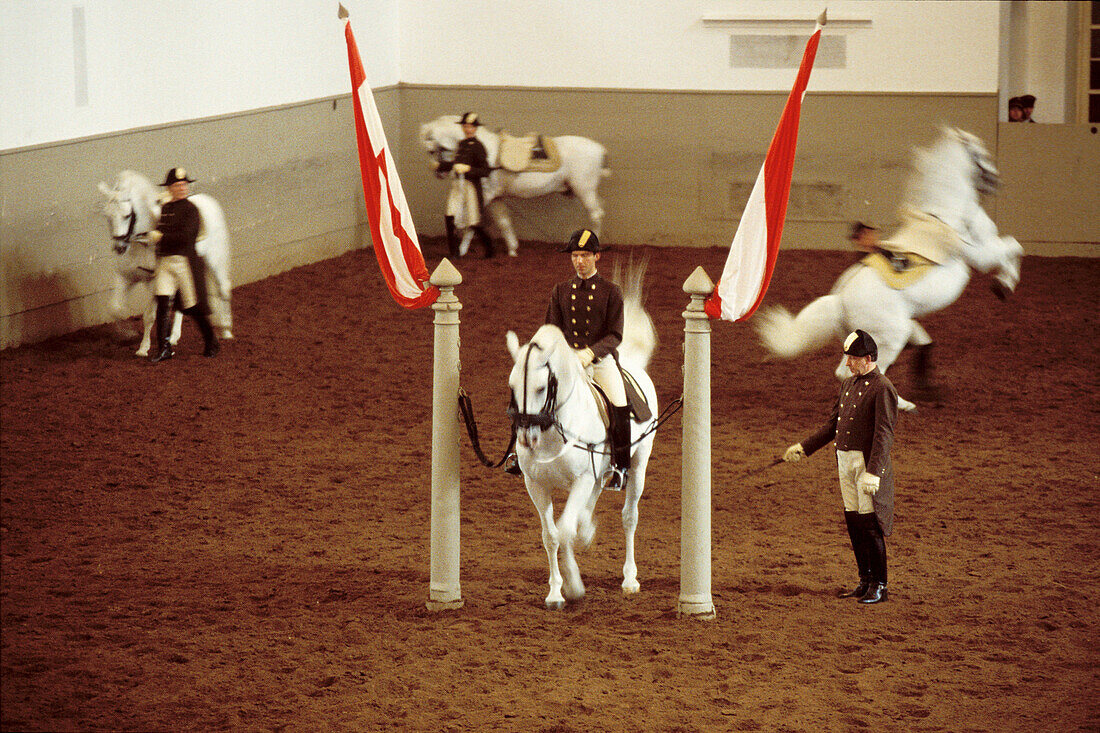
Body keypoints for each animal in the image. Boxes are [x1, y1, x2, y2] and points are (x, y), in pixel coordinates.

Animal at [97, 171, 234, 354]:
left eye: (127, 215)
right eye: (107, 216)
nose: (119, 247)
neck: (140, 245)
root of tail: (210, 201)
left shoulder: (154, 282)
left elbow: (149, 315)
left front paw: (143, 348)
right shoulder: (125, 277)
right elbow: (115, 308)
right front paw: (127, 335)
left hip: (216, 261)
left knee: (223, 288)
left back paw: (226, 331)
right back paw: (175, 336)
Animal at [420, 115, 611, 258]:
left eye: (435, 149)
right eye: (429, 151)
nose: (439, 172)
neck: (485, 153)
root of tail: (600, 149)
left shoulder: (486, 195)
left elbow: (472, 222)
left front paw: (461, 250)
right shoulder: (495, 197)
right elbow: (503, 221)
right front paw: (512, 249)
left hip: (584, 190)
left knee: (596, 214)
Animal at [503, 259, 655, 607]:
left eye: (541, 387)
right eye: (512, 386)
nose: (527, 438)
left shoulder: (582, 480)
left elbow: (564, 529)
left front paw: (573, 586)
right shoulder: (536, 485)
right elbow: (551, 535)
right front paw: (555, 592)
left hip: (638, 465)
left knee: (629, 517)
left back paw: (630, 579)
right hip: (601, 472)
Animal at [756, 127, 1020, 411]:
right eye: (981, 152)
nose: (996, 181)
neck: (945, 213)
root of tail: (840, 299)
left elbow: (1009, 247)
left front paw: (1003, 285)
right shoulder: (979, 254)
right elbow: (1012, 248)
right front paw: (1004, 286)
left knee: (848, 371)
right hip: (891, 335)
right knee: (870, 369)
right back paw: (902, 405)